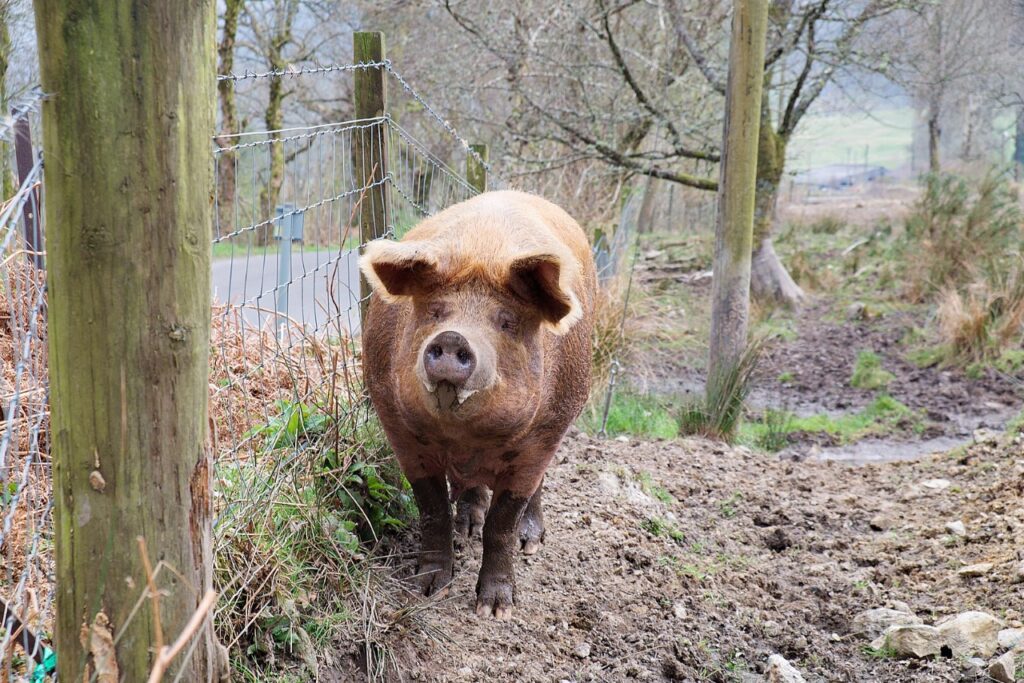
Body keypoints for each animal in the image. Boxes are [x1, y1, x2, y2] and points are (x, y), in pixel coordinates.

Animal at [359, 189, 595, 618]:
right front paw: (428, 589)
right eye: (435, 311)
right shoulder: (398, 427)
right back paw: (467, 526)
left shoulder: (544, 435)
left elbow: (503, 521)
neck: (465, 436)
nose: (452, 337)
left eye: (506, 321)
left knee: (535, 490)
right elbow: (432, 506)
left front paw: (495, 610)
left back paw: (531, 542)